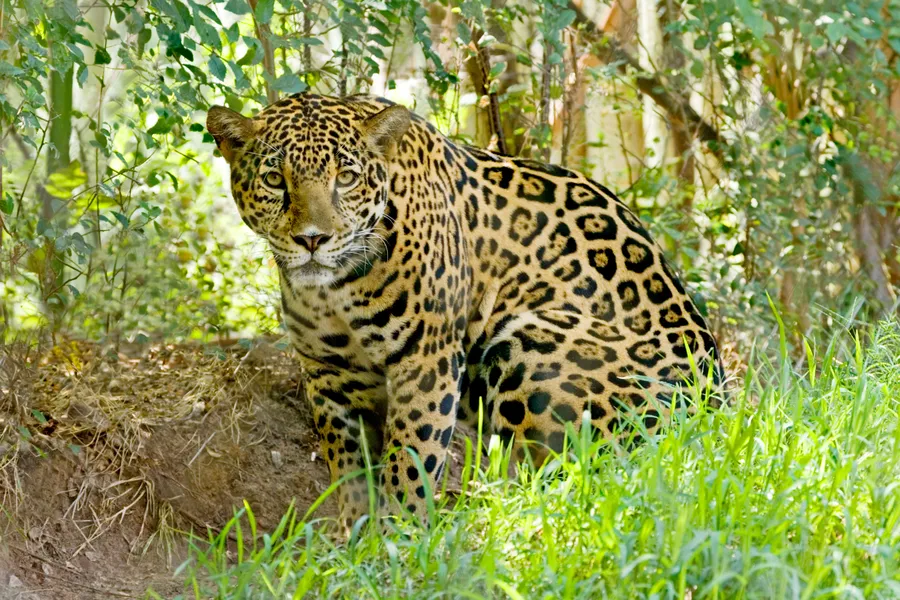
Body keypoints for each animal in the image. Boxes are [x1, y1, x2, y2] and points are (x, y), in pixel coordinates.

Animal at [206, 92, 724, 531]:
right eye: (275, 179)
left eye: (346, 178)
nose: (312, 239)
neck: (336, 290)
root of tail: (715, 413)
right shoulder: (329, 370)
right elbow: (349, 466)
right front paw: (350, 539)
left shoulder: (426, 358)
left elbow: (411, 459)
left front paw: (398, 538)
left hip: (527, 342)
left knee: (577, 482)